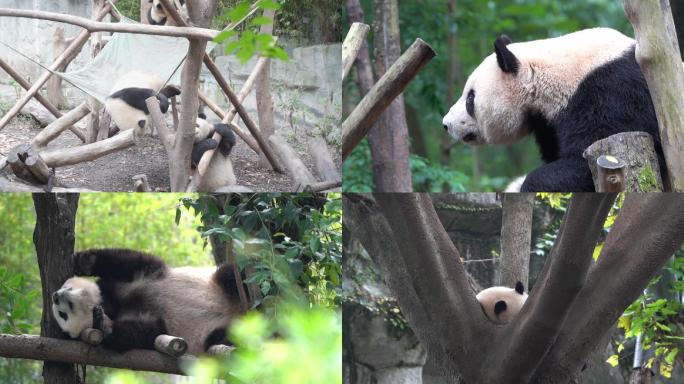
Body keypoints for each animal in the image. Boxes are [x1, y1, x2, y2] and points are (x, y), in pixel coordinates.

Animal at [52, 249, 247, 354]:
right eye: (63, 315)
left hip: (217, 285)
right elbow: (142, 333)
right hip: (210, 333)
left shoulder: (140, 277)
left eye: (68, 287)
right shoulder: (150, 323)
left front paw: (84, 261)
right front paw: (102, 323)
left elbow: (126, 260)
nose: (55, 296)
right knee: (222, 337)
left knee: (233, 275)